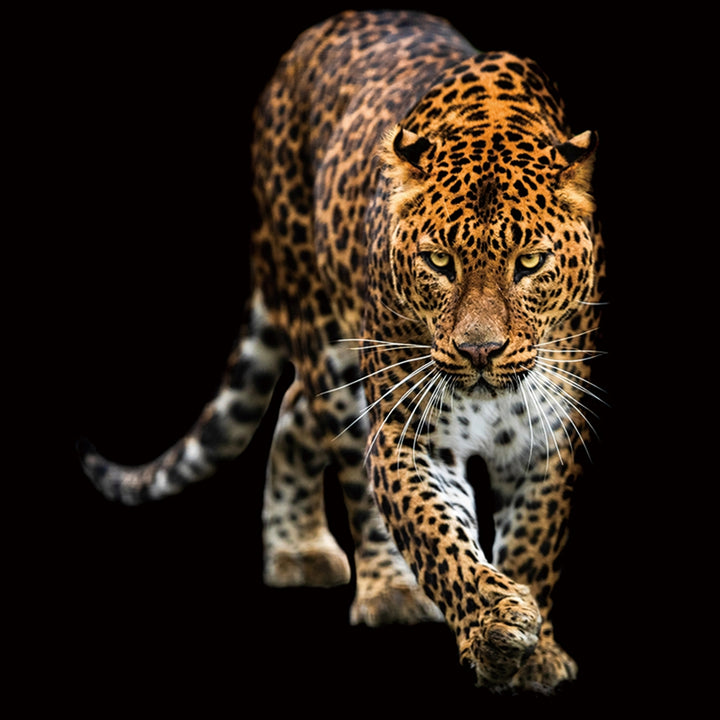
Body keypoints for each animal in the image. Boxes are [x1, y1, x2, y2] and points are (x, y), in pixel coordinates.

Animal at [79, 10, 606, 693]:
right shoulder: (408, 433)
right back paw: (386, 589)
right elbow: (437, 534)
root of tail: (325, 28)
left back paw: (296, 550)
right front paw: (493, 625)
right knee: (347, 463)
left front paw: (535, 651)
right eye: (440, 262)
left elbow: (535, 541)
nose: (480, 351)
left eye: (531, 263)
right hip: (330, 340)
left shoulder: (549, 437)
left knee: (295, 408)